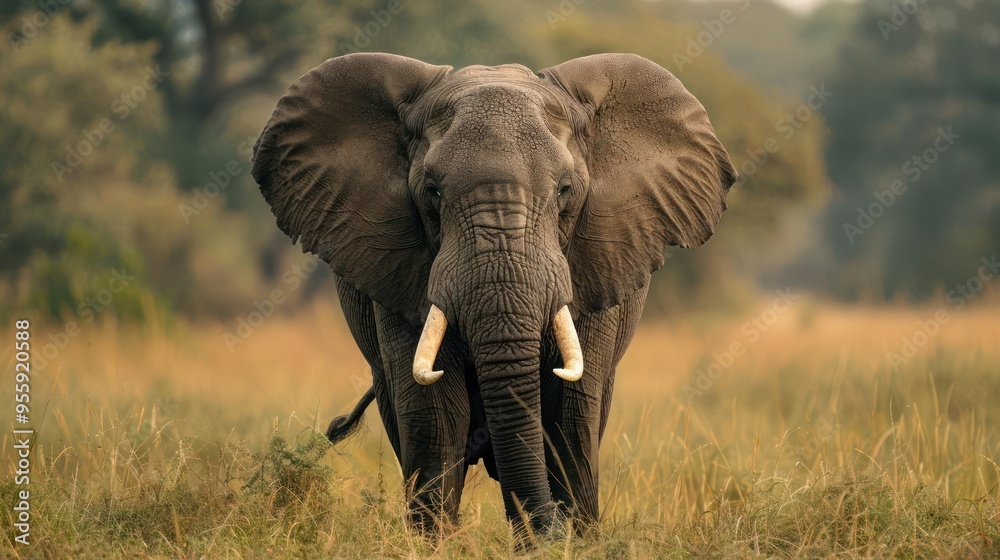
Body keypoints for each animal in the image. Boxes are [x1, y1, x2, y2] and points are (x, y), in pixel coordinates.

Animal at [251, 52, 736, 535]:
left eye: (565, 192)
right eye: (432, 192)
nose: (545, 532)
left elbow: (571, 416)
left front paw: (569, 539)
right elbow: (435, 415)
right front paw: (432, 542)